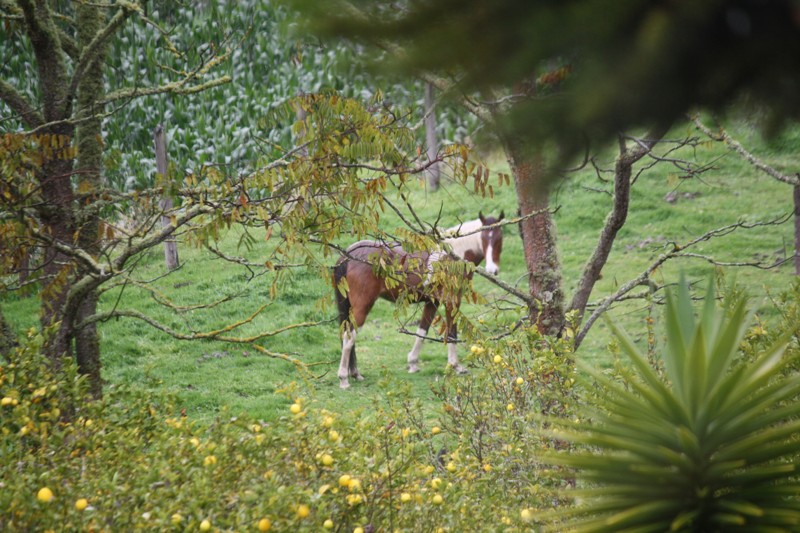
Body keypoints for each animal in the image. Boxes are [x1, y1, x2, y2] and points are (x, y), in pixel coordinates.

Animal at [334, 210, 504, 388]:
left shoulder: (432, 302)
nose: (492, 270)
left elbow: (422, 331)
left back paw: (355, 373)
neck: (454, 256)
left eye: (499, 238)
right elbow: (452, 332)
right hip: (362, 306)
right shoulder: (451, 301)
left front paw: (413, 363)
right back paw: (344, 379)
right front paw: (455, 366)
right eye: (484, 237)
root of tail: (348, 256)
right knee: (349, 337)